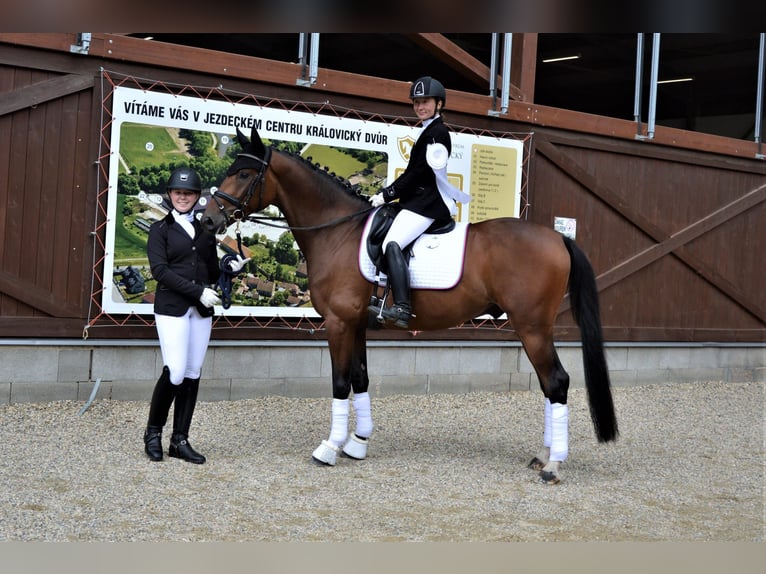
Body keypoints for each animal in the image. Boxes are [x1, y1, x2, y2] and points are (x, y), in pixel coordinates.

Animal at [202, 127, 616, 486]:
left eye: (243, 173)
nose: (208, 219)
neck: (338, 231)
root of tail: (558, 239)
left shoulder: (338, 322)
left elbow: (339, 382)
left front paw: (330, 447)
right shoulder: (356, 324)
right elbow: (360, 378)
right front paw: (358, 443)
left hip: (532, 328)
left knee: (557, 382)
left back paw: (553, 466)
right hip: (532, 328)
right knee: (549, 386)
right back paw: (544, 457)